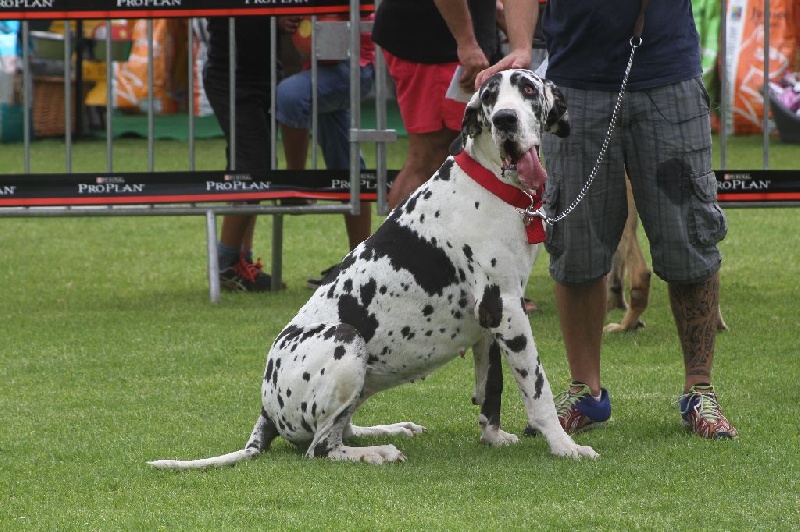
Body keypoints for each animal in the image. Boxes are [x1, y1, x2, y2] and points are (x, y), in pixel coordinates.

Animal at [150, 68, 600, 468]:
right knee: (321, 448)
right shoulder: (505, 310)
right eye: (490, 97)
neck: (490, 181)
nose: (506, 119)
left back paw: (388, 430)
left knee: (339, 430)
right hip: (346, 341)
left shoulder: (492, 318)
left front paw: (492, 437)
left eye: (527, 89)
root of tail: (264, 410)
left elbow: (493, 388)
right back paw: (376, 452)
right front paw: (563, 446)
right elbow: (537, 389)